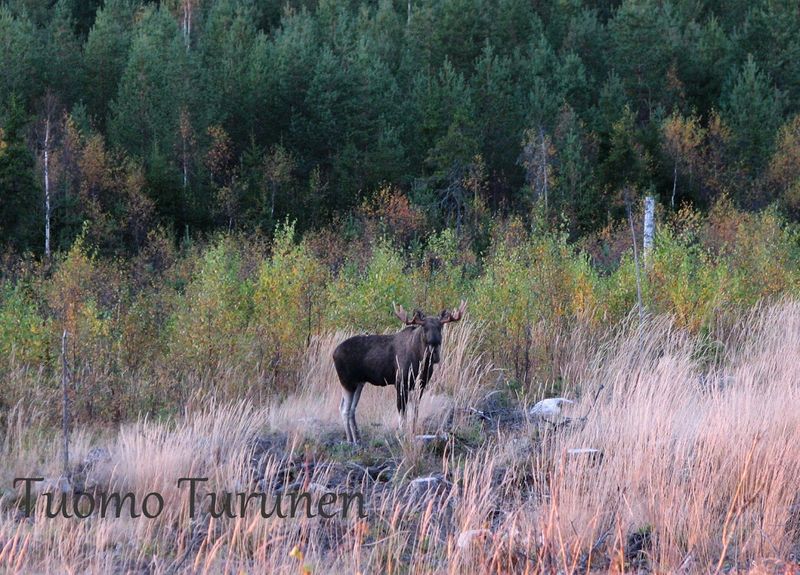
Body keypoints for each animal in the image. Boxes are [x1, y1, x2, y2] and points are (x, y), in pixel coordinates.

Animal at [332, 302, 468, 446]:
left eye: (440, 327)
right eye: (424, 327)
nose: (434, 347)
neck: (422, 362)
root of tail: (333, 353)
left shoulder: (421, 384)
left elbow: (415, 412)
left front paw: (412, 433)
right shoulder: (400, 382)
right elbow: (402, 412)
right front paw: (402, 435)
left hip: (359, 383)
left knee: (351, 409)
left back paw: (357, 437)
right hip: (347, 381)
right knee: (344, 409)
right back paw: (350, 440)